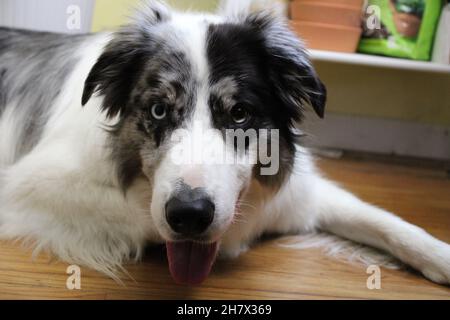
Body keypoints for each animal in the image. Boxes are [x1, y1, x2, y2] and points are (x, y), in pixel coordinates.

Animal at [0, 1, 448, 286]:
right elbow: (145, 214)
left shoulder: (300, 193)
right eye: (159, 110)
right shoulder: (28, 182)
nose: (189, 215)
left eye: (239, 114)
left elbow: (382, 220)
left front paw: (439, 255)